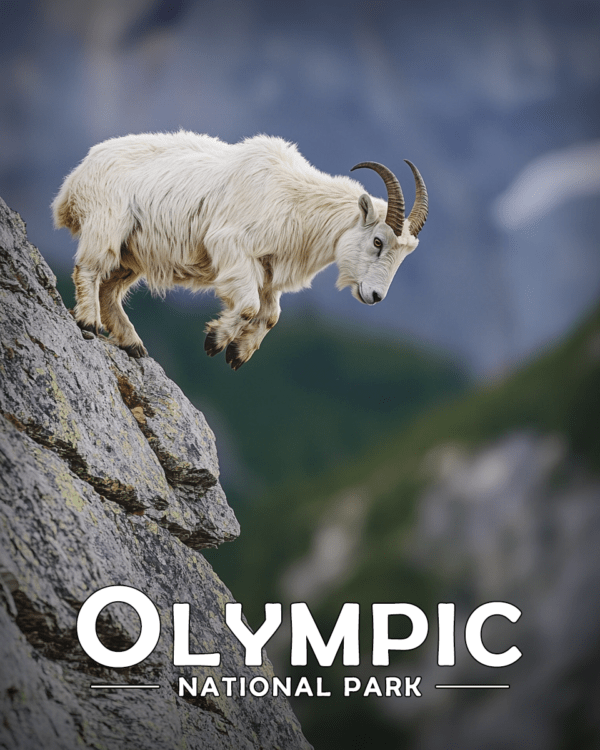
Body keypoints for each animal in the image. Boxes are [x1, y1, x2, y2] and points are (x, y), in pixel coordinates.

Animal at [52, 135, 426, 374]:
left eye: (405, 255)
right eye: (378, 241)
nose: (375, 296)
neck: (296, 200)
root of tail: (73, 181)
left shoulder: (269, 270)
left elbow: (271, 315)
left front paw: (237, 354)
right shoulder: (232, 246)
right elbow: (248, 306)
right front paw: (215, 341)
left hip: (132, 254)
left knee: (110, 289)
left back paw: (133, 344)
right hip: (107, 222)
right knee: (89, 269)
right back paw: (88, 322)